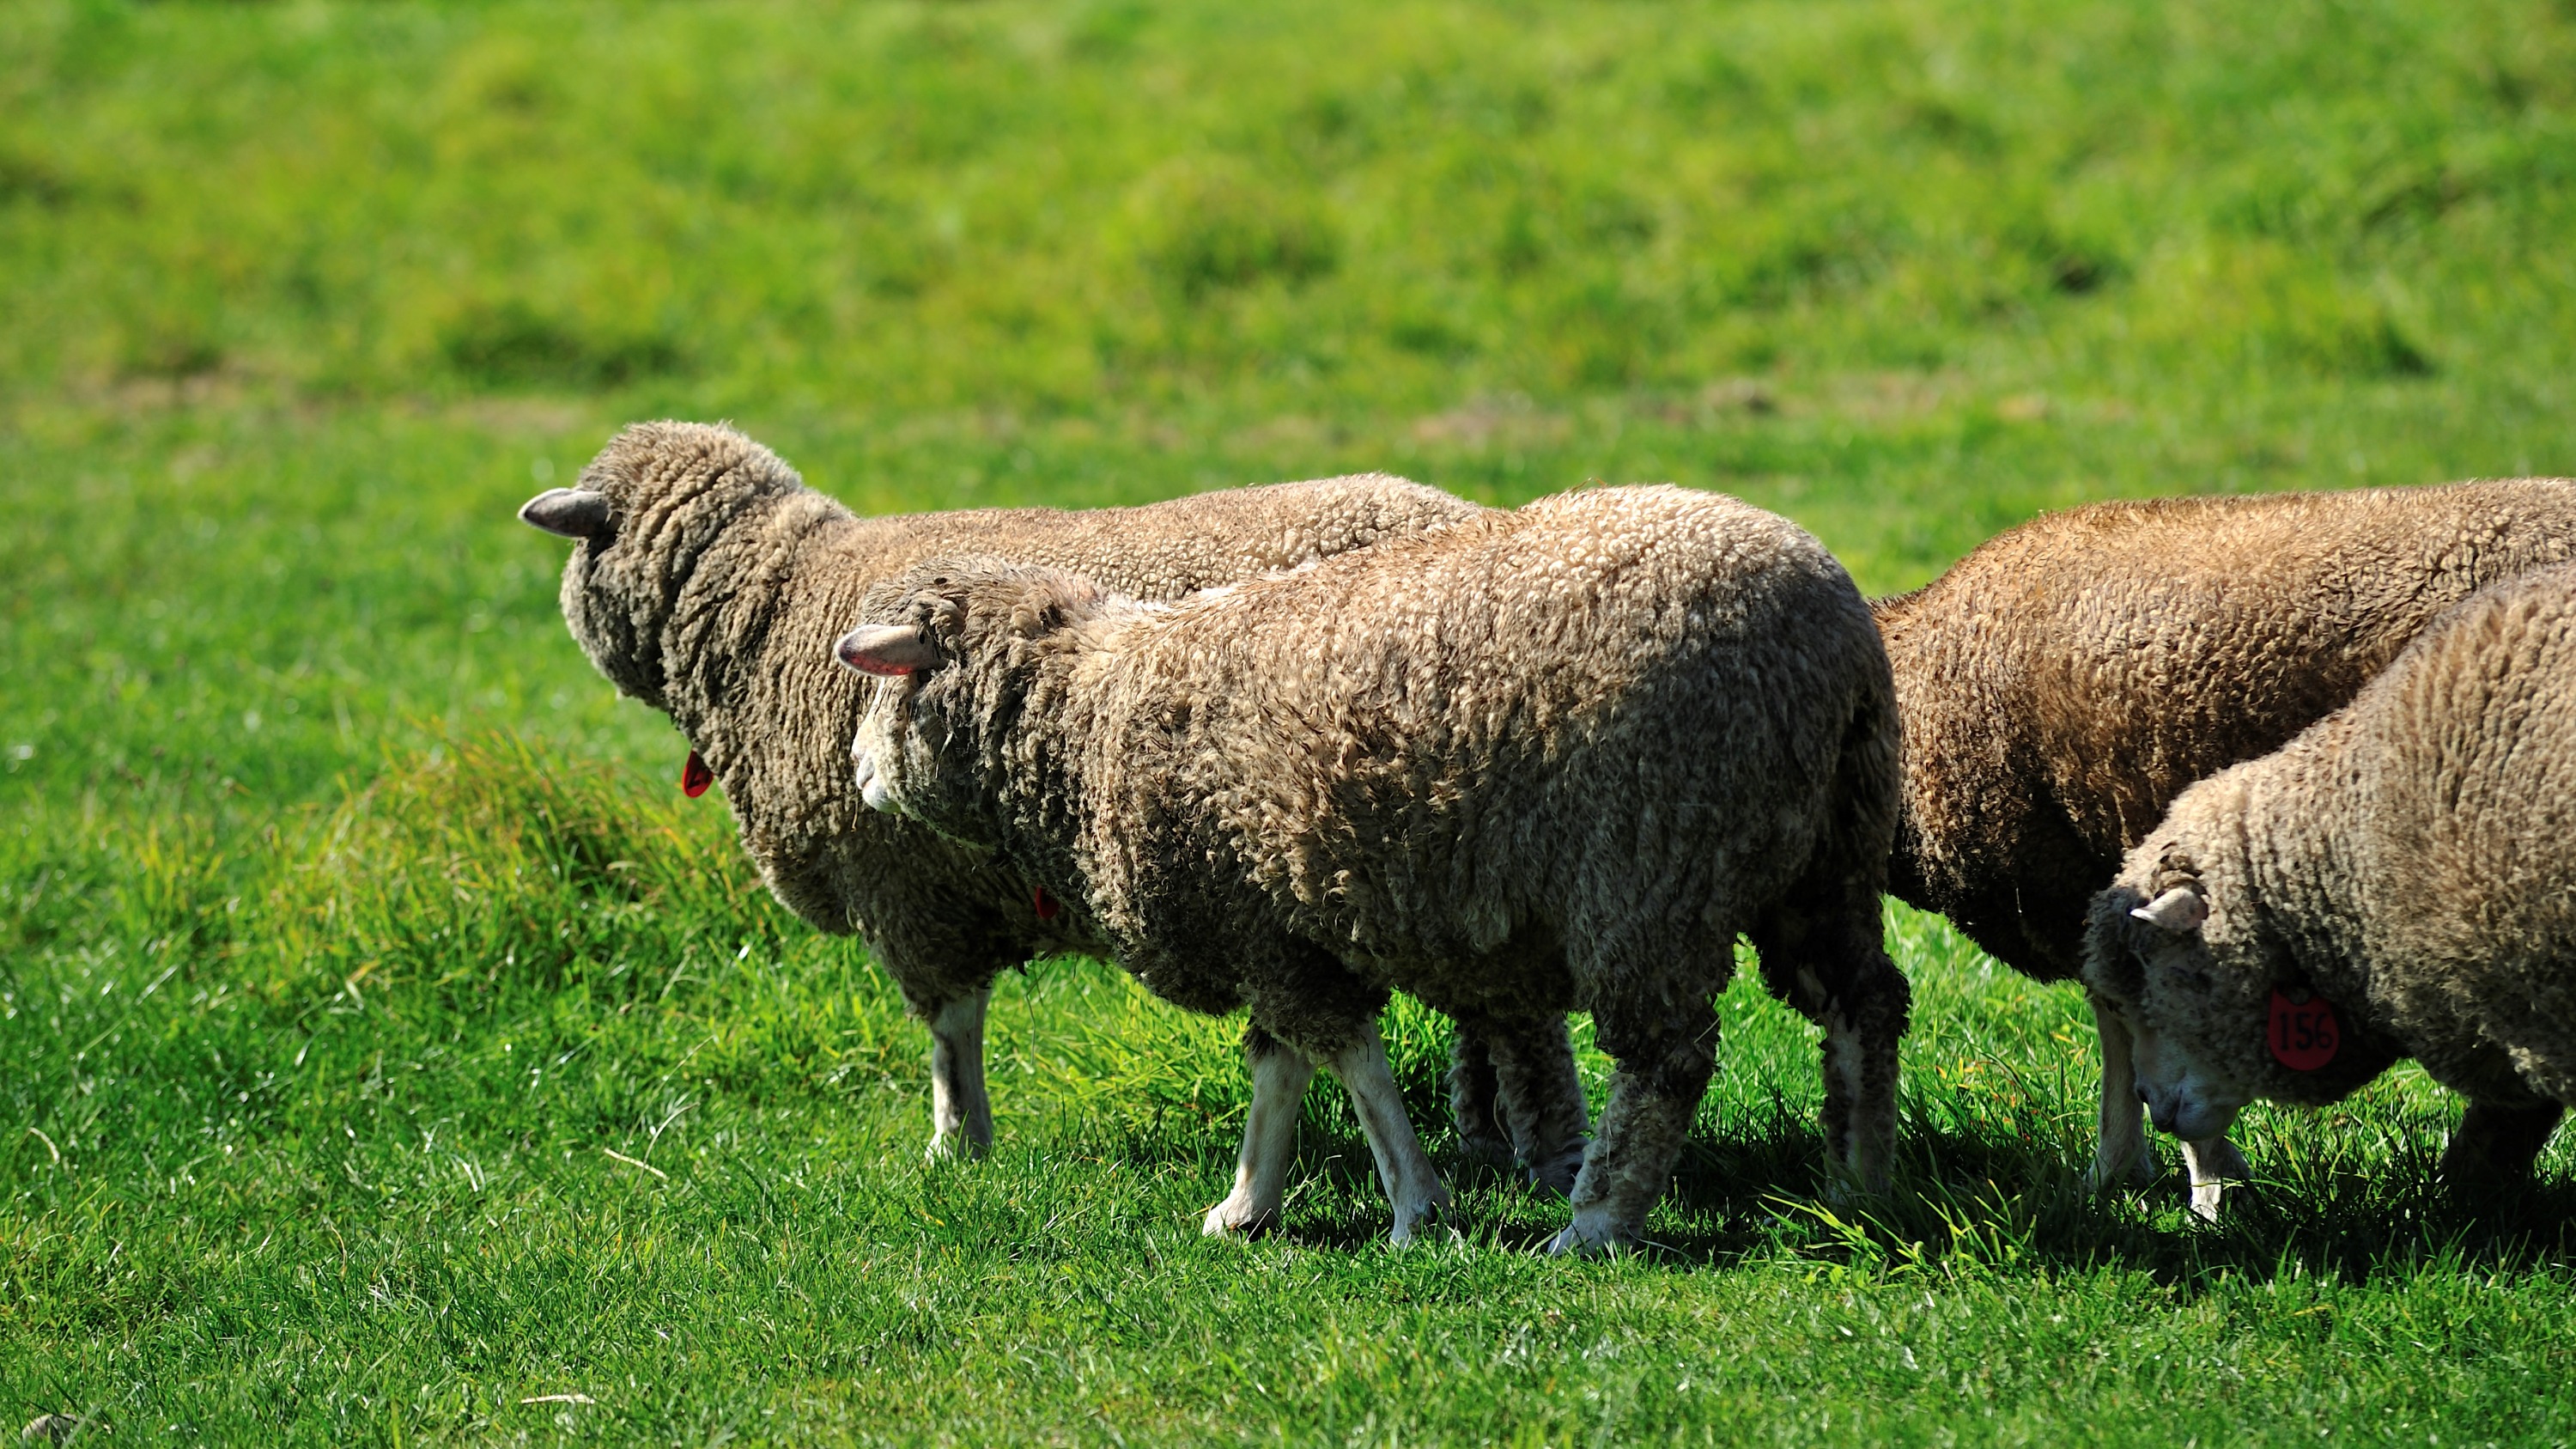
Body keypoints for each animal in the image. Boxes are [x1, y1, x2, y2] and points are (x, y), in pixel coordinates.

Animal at [835, 479, 1906, 1247]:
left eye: (891, 687)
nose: (856, 773)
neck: (1092, 713)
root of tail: (1833, 639)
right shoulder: (1272, 926)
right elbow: (1283, 1066)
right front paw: (1247, 1205)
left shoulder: (1263, 924)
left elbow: (1350, 1060)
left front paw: (1415, 1208)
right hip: (1827, 855)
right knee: (1864, 999)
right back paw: (1857, 1177)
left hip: (1653, 868)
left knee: (1667, 1058)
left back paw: (1599, 1221)